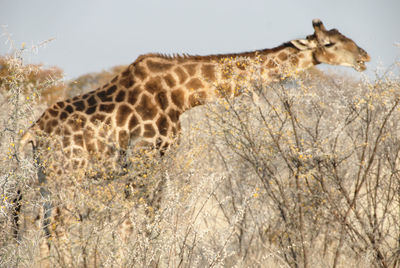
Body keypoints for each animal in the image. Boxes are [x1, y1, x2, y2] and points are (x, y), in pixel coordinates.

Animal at [17, 18, 368, 266]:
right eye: (330, 43)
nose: (364, 56)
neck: (182, 94)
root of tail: (31, 133)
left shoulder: (150, 160)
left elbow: (143, 221)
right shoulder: (146, 157)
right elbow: (136, 222)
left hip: (47, 178)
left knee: (43, 225)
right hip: (68, 175)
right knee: (58, 226)